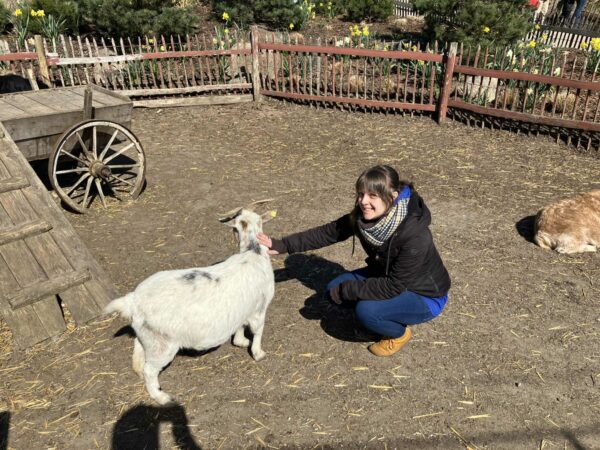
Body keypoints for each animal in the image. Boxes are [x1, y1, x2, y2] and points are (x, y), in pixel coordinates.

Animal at [105, 200, 276, 404]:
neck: (253, 252)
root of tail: (133, 301)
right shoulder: (259, 308)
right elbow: (258, 331)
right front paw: (258, 353)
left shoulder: (243, 308)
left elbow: (240, 326)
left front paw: (241, 341)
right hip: (163, 345)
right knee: (150, 370)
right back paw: (161, 397)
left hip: (148, 336)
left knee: (139, 353)